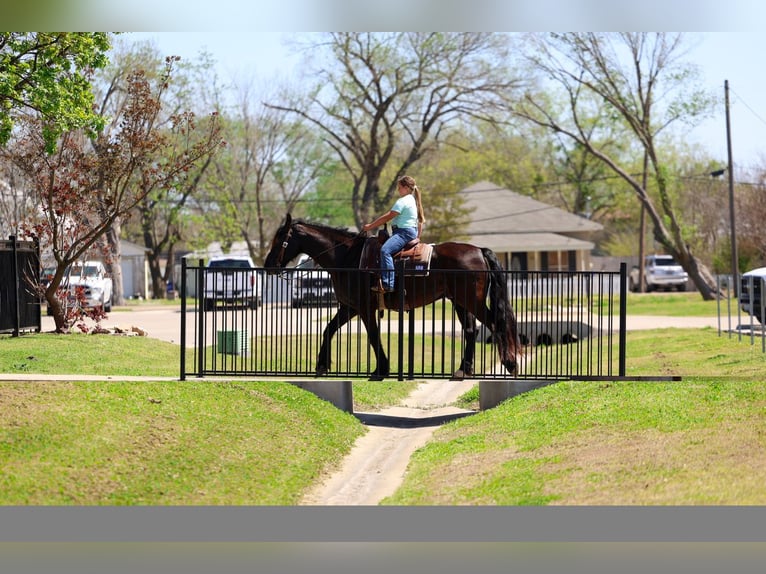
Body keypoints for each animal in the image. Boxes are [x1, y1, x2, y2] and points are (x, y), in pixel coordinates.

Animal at [264, 213, 521, 380]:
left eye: (279, 240)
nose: (268, 266)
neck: (348, 257)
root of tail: (479, 250)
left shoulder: (364, 308)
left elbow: (373, 336)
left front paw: (381, 369)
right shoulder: (349, 307)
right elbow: (329, 329)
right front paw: (322, 365)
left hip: (471, 301)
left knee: (495, 324)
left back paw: (510, 364)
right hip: (460, 302)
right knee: (471, 330)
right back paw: (463, 369)